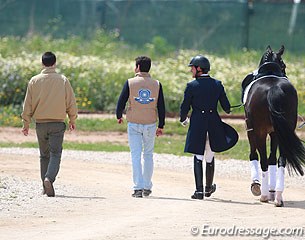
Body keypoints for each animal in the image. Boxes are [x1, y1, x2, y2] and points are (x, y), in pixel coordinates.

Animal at [241, 45, 304, 206]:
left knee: (263, 159)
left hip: (260, 132)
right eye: (284, 65)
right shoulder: (276, 132)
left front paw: (257, 186)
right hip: (282, 132)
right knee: (281, 160)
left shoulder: (252, 130)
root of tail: (274, 88)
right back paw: (278, 197)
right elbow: (273, 159)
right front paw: (272, 191)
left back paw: (263, 195)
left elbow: (255, 155)